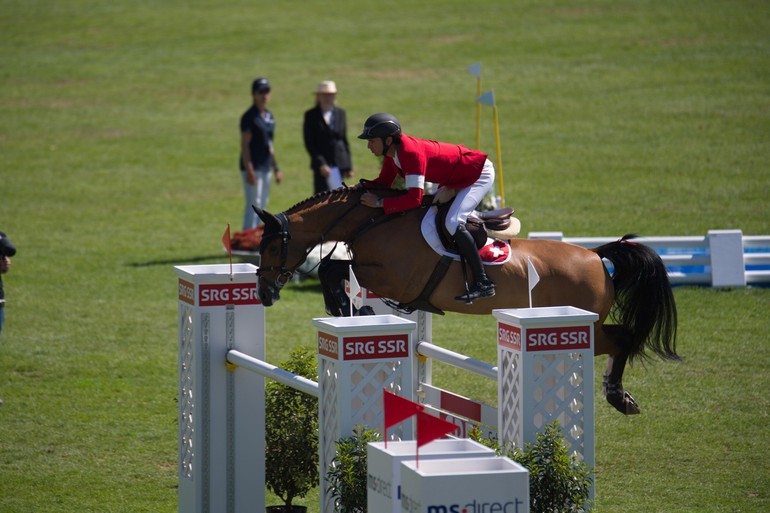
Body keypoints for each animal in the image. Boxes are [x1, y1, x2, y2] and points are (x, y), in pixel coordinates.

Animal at [254, 182, 680, 414]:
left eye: (272, 247)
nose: (264, 293)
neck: (373, 220)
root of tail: (596, 256)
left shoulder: (395, 278)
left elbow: (333, 269)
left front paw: (340, 306)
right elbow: (334, 268)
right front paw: (342, 305)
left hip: (582, 321)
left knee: (622, 337)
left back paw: (618, 397)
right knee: (622, 336)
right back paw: (620, 396)